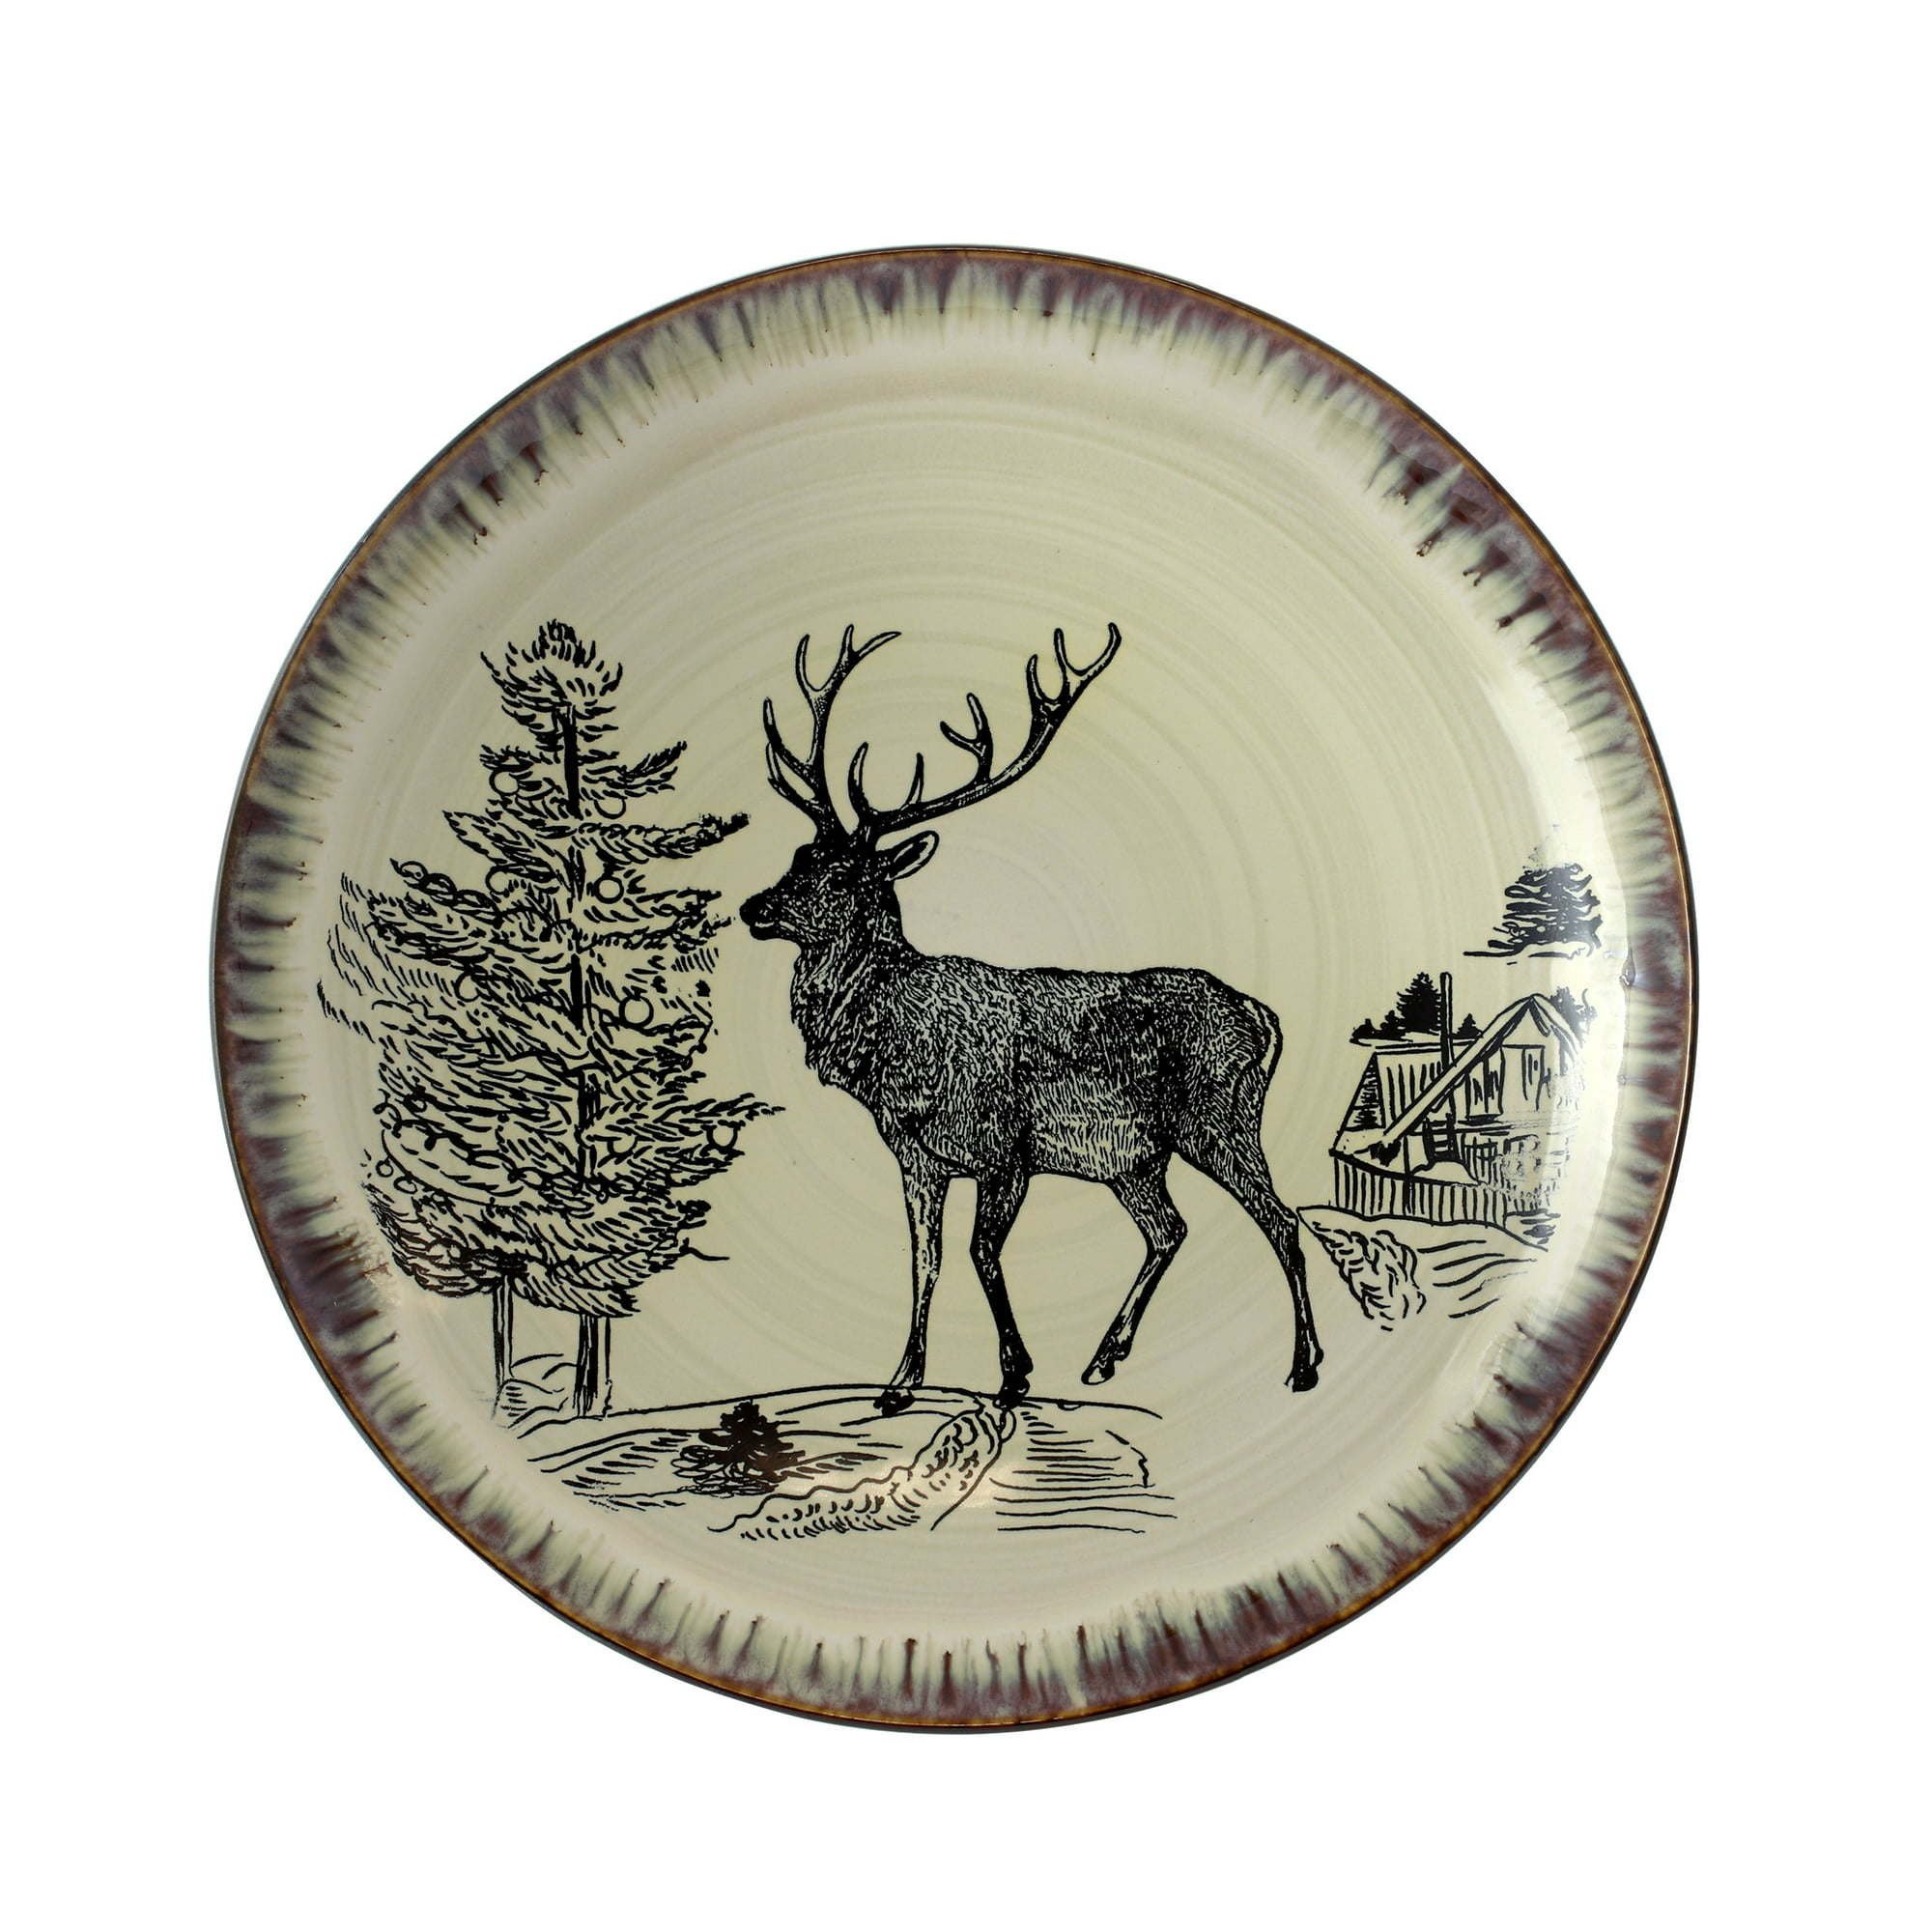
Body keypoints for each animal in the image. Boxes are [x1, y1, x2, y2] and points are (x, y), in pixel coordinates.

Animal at [740, 622, 1322, 1415]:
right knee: (1171, 1228)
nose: (754, 908)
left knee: (1284, 1221)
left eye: (842, 875)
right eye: (798, 855)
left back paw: (1303, 1367)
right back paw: (1104, 1359)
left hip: (1219, 1118)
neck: (898, 1055)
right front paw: (899, 1383)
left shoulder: (1005, 1149)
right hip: (1135, 1160)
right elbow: (925, 1258)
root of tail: (1265, 1017)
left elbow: (980, 1252)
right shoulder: (916, 1155)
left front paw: (1014, 1373)